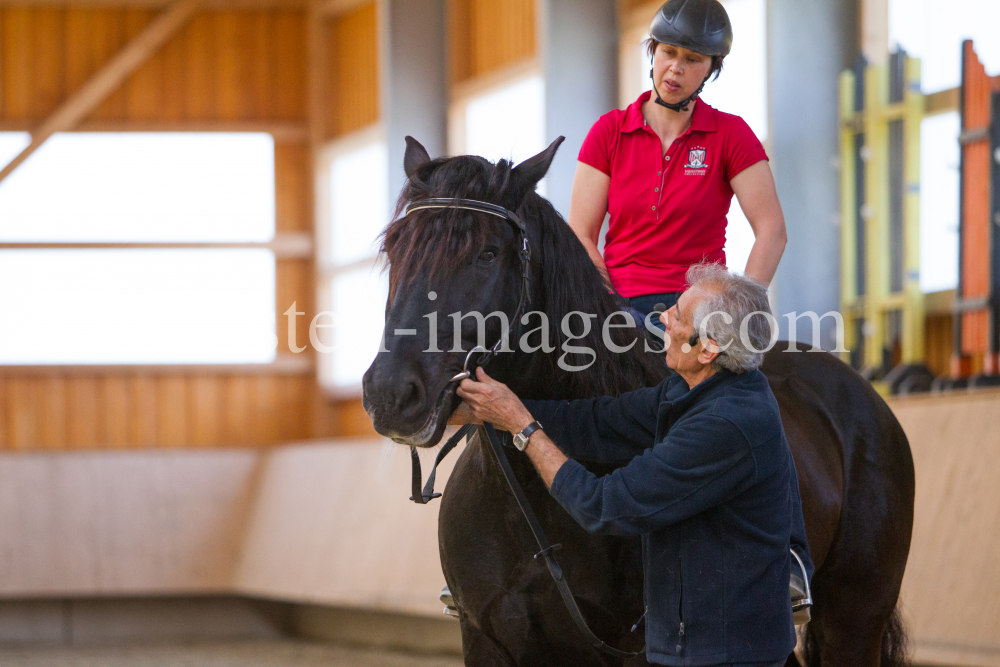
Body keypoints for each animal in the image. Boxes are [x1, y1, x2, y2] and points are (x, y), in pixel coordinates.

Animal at [366, 138, 916, 664]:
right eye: (395, 247)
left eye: (487, 253)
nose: (390, 394)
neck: (535, 513)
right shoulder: (487, 640)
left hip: (855, 618)